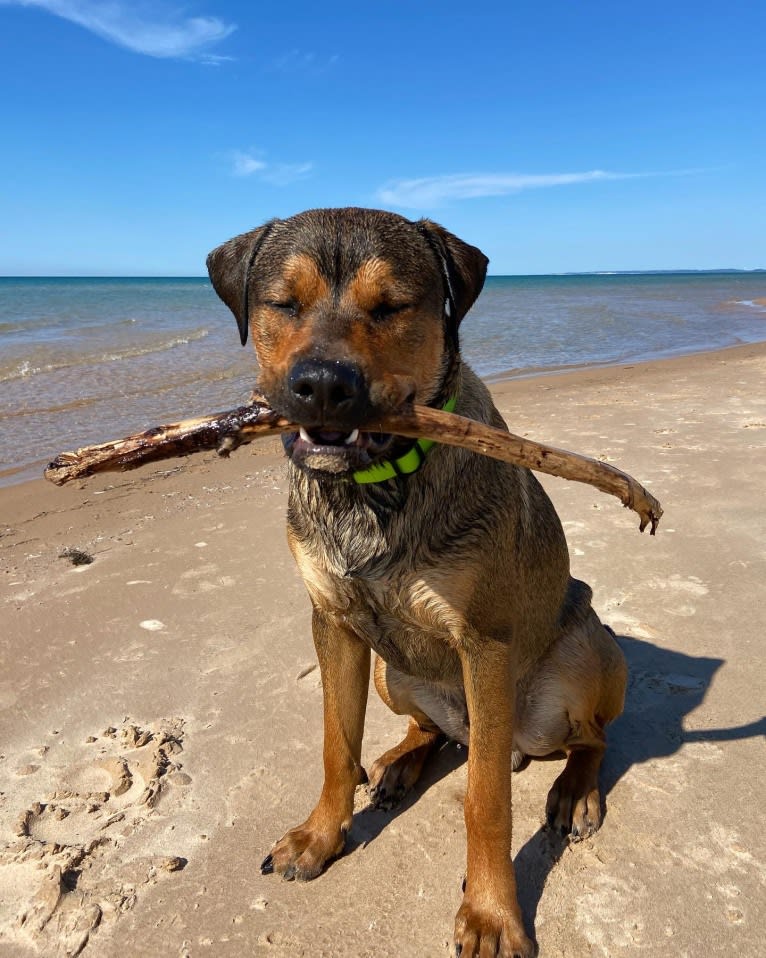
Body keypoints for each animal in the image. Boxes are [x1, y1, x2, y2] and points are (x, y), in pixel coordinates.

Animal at [207, 210, 628, 958]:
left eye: (391, 306)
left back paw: (575, 789)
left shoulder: (485, 643)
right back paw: (403, 761)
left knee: (591, 739)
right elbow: (334, 745)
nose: (321, 385)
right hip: (390, 672)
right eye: (283, 304)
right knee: (430, 727)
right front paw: (320, 836)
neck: (370, 488)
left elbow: (486, 803)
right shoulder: (333, 623)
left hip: (583, 655)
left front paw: (491, 913)